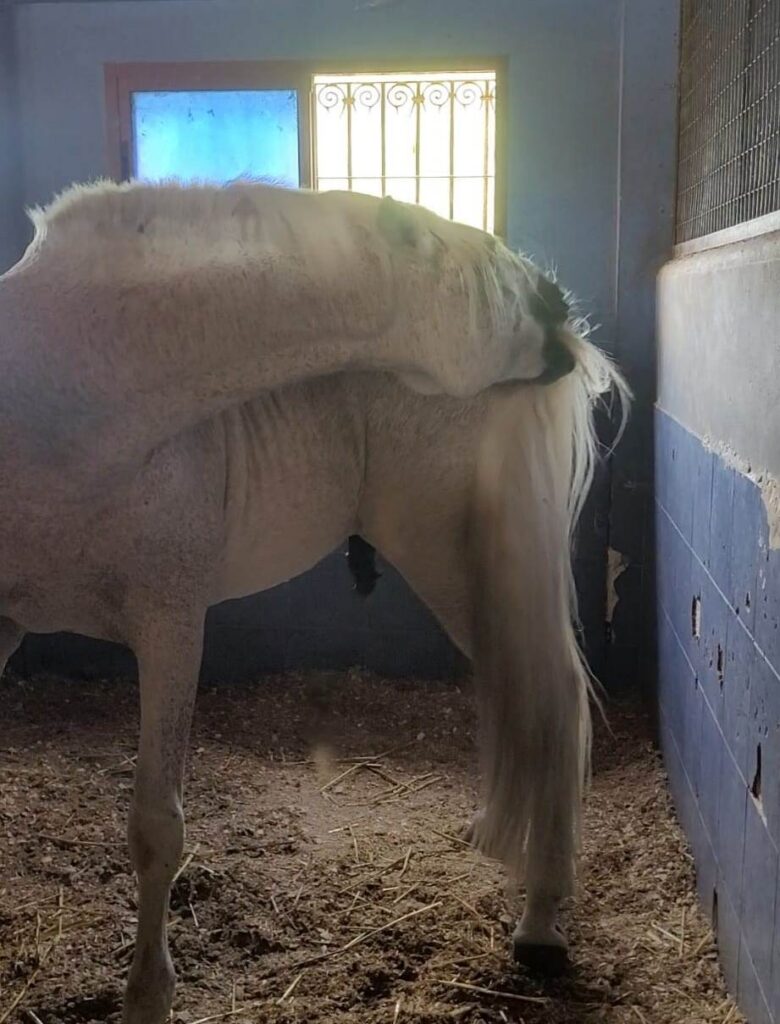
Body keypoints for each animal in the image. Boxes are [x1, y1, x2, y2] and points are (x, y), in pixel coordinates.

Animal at [0, 182, 627, 1024]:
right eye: (493, 270)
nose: (560, 311)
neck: (61, 398)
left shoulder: (170, 626)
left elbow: (156, 828)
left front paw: (149, 995)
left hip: (460, 567)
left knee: (555, 700)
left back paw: (541, 922)